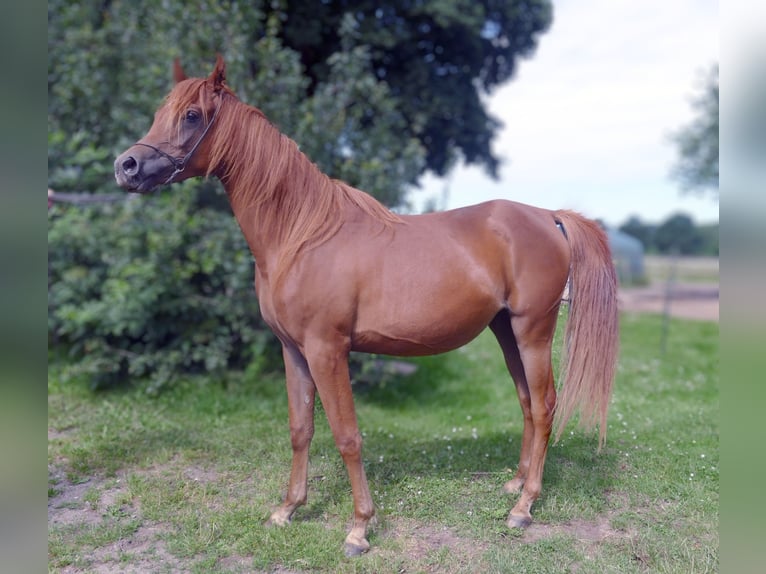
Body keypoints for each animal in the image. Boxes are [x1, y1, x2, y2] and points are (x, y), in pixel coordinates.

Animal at [115, 56, 619, 556]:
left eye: (191, 115)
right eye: (161, 112)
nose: (126, 166)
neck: (301, 236)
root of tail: (549, 217)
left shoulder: (327, 351)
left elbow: (347, 435)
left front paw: (359, 527)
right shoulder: (293, 352)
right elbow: (300, 430)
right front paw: (287, 510)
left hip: (533, 330)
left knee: (546, 405)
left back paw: (524, 507)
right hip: (505, 330)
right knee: (527, 403)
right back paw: (515, 484)